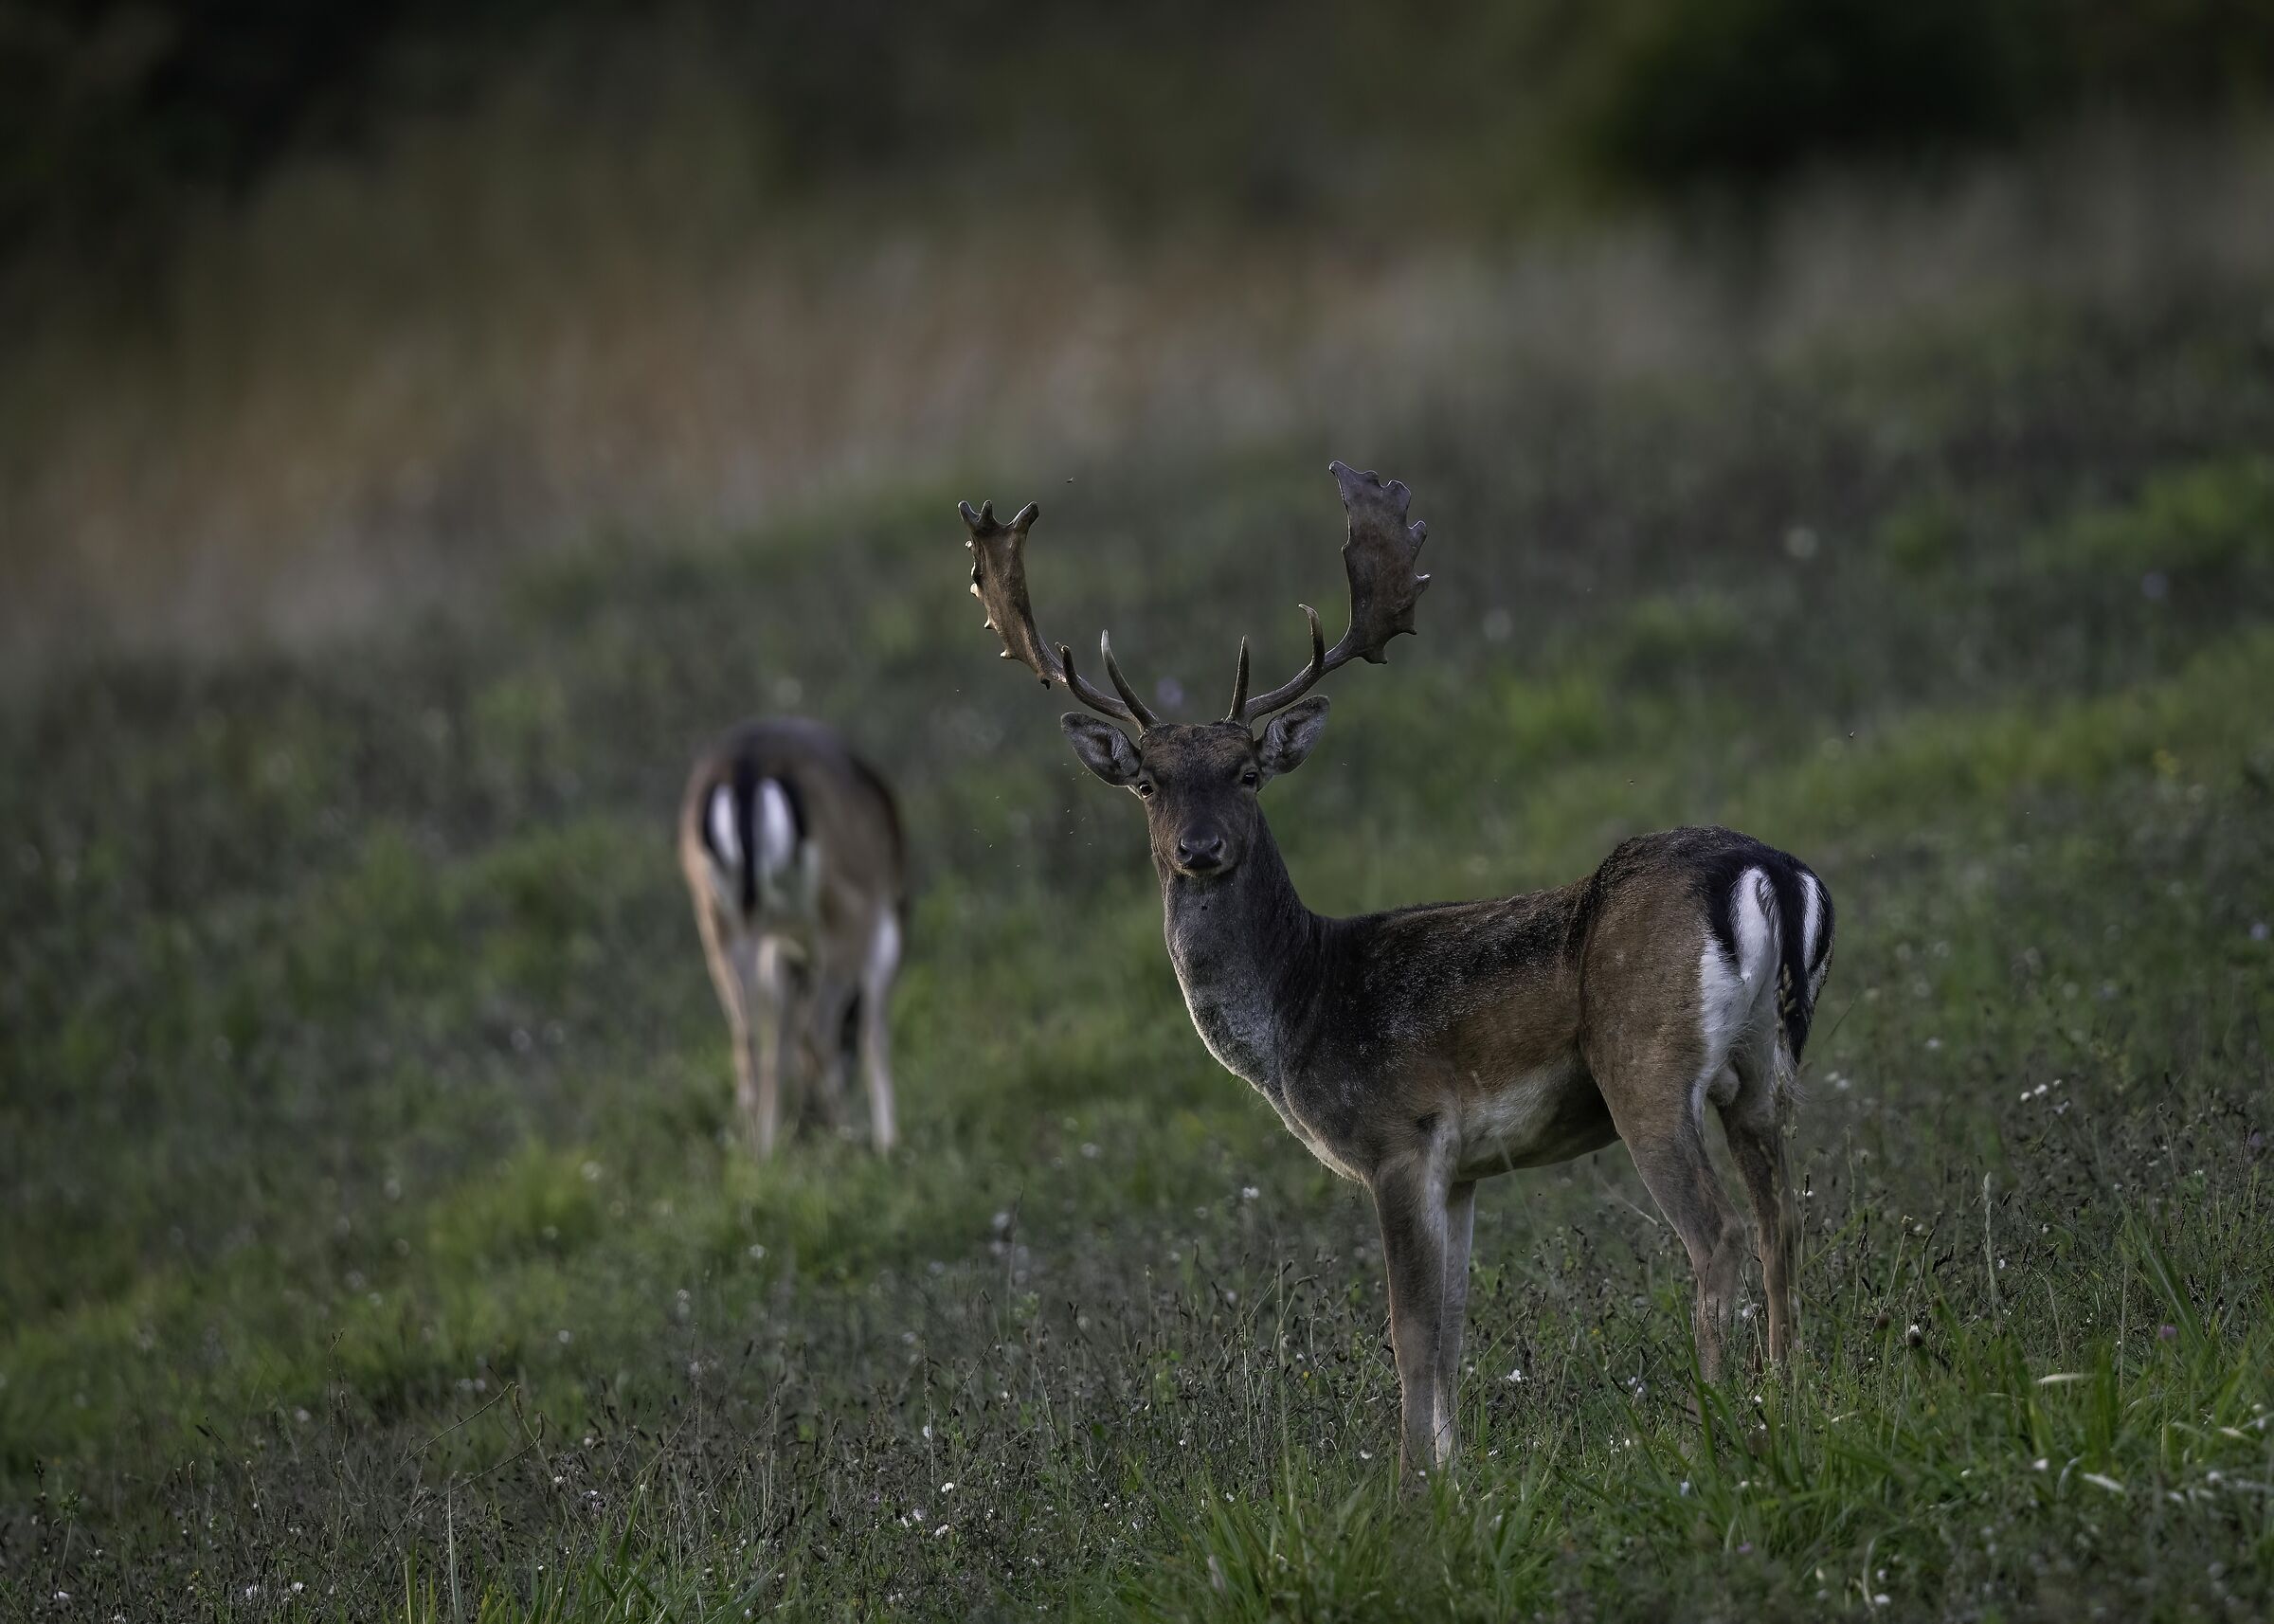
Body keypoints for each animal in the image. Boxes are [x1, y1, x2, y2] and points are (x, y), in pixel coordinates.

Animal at [678, 718, 907, 1158]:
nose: (809, 1121)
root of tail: (747, 765)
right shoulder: (880, 939)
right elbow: (874, 1034)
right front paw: (889, 1145)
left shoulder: (782, 952)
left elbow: (782, 1039)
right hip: (844, 905)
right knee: (816, 1026)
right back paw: (850, 1137)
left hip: (718, 917)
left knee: (749, 1037)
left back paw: (758, 1155)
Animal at [956, 463, 1834, 1482]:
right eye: (1148, 781)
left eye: (1249, 770)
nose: (1199, 848)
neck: (1298, 1013)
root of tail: (1766, 870)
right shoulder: (1463, 1169)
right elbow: (1452, 1325)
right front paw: (1455, 1471)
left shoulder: (1398, 1138)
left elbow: (1408, 1329)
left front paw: (1413, 1485)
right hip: (1761, 1073)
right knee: (1782, 1220)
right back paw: (1786, 1392)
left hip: (1647, 1068)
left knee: (1717, 1232)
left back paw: (1713, 1421)